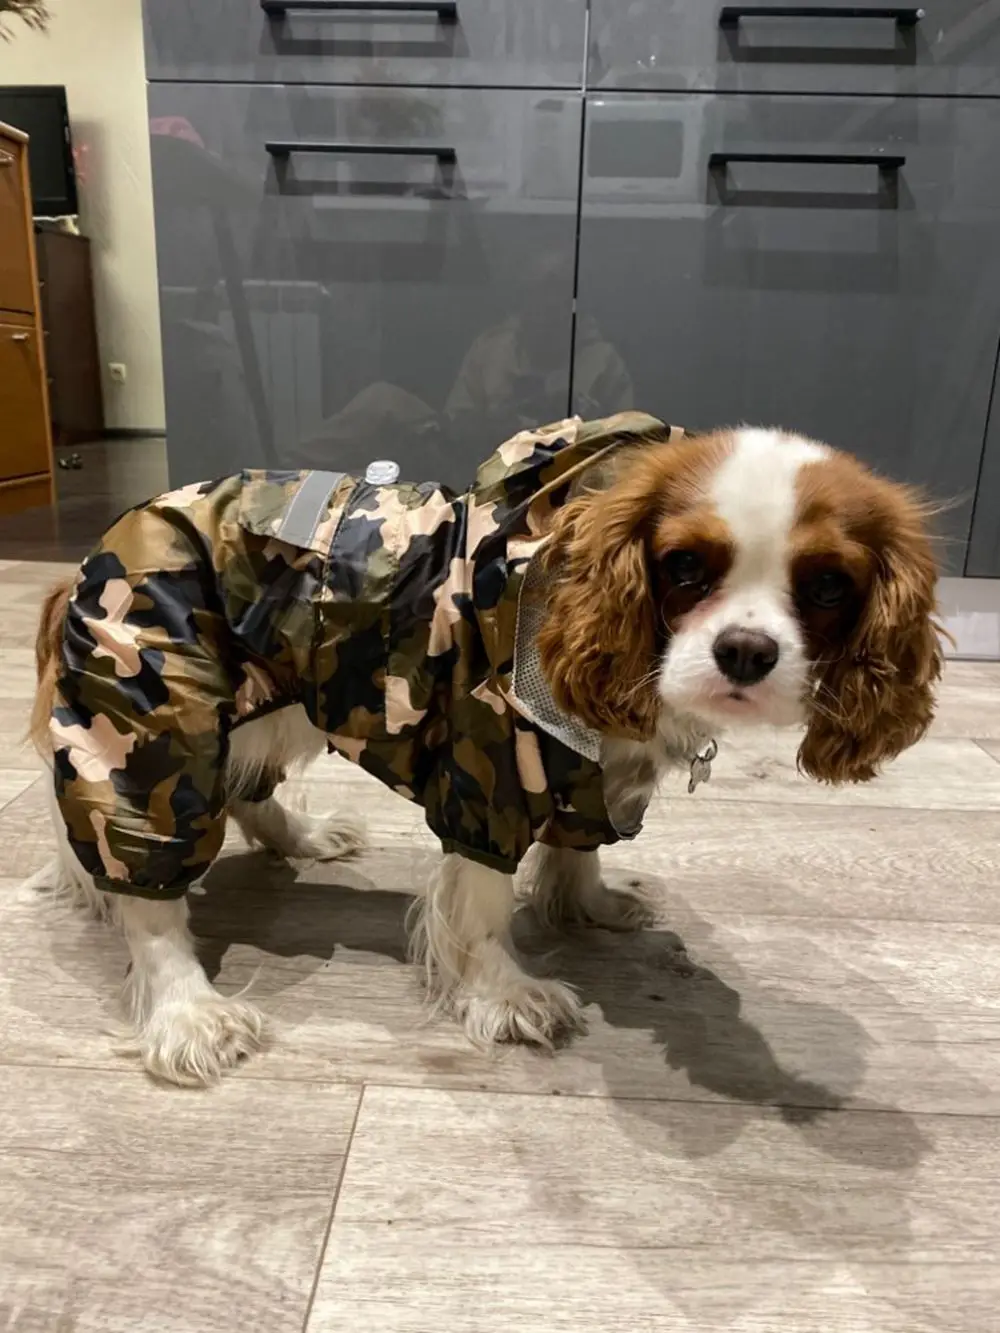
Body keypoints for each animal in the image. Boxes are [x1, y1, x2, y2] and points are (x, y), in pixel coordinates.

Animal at [28, 411, 942, 1085]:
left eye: (828, 584)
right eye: (684, 566)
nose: (747, 651)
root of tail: (105, 540)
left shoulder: (587, 768)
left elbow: (579, 844)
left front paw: (591, 902)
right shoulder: (489, 764)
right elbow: (483, 903)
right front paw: (509, 994)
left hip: (267, 695)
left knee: (244, 787)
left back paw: (304, 837)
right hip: (158, 701)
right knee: (146, 867)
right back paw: (187, 1009)